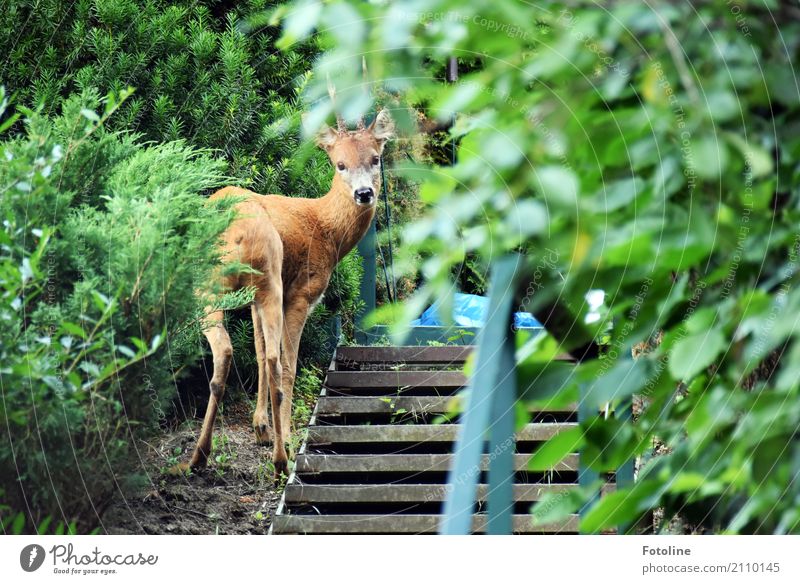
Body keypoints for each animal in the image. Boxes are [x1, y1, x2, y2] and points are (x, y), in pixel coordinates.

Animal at [180, 104, 396, 480]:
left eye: (375, 158)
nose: (364, 194)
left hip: (233, 284)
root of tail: (241, 234)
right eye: (339, 164)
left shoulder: (255, 300)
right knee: (274, 361)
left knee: (246, 352)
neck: (326, 228)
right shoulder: (303, 291)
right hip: (260, 281)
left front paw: (261, 428)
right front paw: (278, 435)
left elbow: (258, 349)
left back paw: (201, 456)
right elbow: (286, 362)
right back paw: (280, 456)